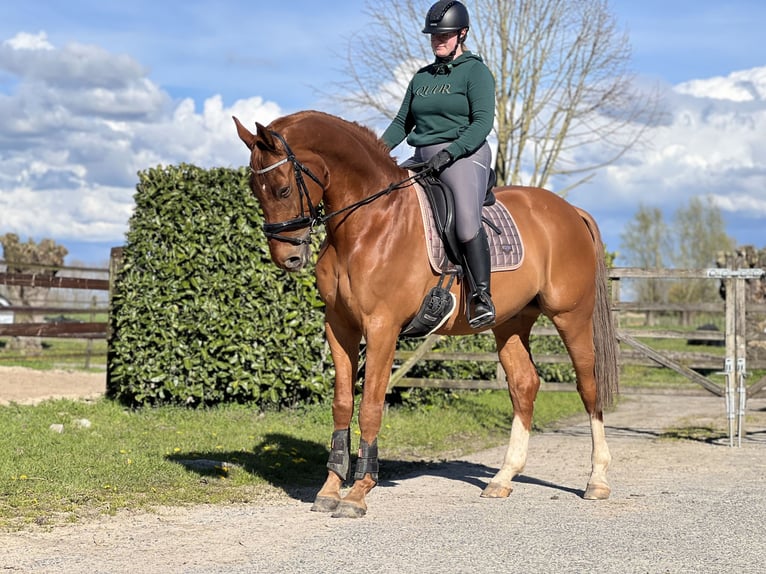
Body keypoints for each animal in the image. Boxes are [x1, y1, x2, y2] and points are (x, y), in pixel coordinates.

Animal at [233, 110, 619, 518]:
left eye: (282, 190)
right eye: (255, 190)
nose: (288, 258)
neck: (367, 223)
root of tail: (569, 210)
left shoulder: (382, 328)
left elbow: (370, 406)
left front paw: (358, 493)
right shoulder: (339, 327)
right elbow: (342, 404)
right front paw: (330, 488)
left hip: (571, 317)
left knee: (588, 387)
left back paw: (597, 480)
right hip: (511, 323)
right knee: (524, 385)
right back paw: (502, 479)